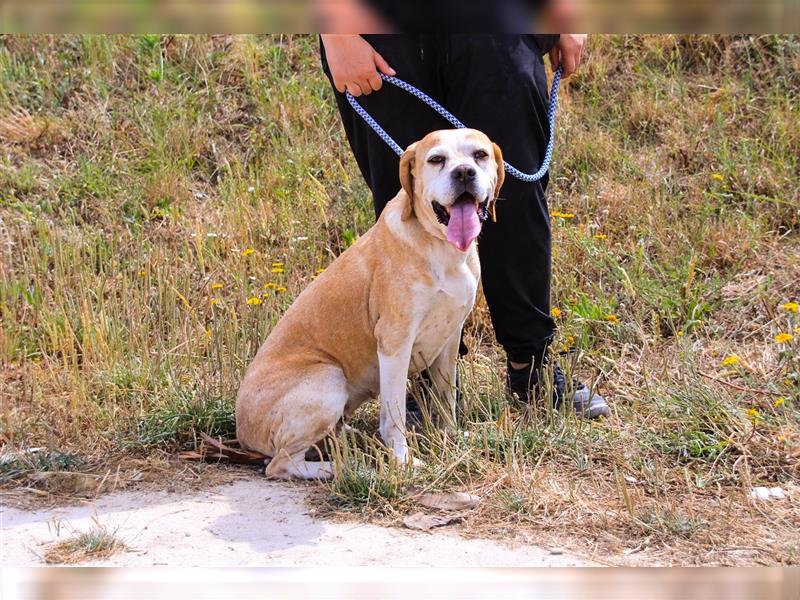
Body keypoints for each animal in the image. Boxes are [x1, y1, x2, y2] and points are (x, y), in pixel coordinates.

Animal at [234, 129, 504, 480]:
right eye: (437, 159)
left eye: (480, 155)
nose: (463, 173)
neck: (442, 248)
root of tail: (241, 429)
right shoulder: (394, 342)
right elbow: (394, 414)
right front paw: (402, 461)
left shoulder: (449, 338)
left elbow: (446, 399)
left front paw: (451, 437)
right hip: (328, 379)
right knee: (279, 464)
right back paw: (345, 468)